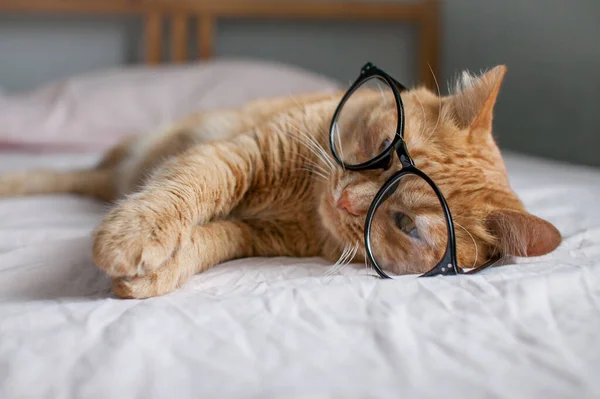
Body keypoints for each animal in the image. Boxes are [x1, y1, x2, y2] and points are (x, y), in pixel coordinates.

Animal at [0, 65, 564, 298]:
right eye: (386, 148)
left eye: (407, 224)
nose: (345, 199)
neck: (302, 203)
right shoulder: (235, 156)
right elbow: (184, 189)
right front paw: (134, 234)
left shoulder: (248, 236)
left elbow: (202, 241)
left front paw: (152, 273)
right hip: (124, 156)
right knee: (73, 175)